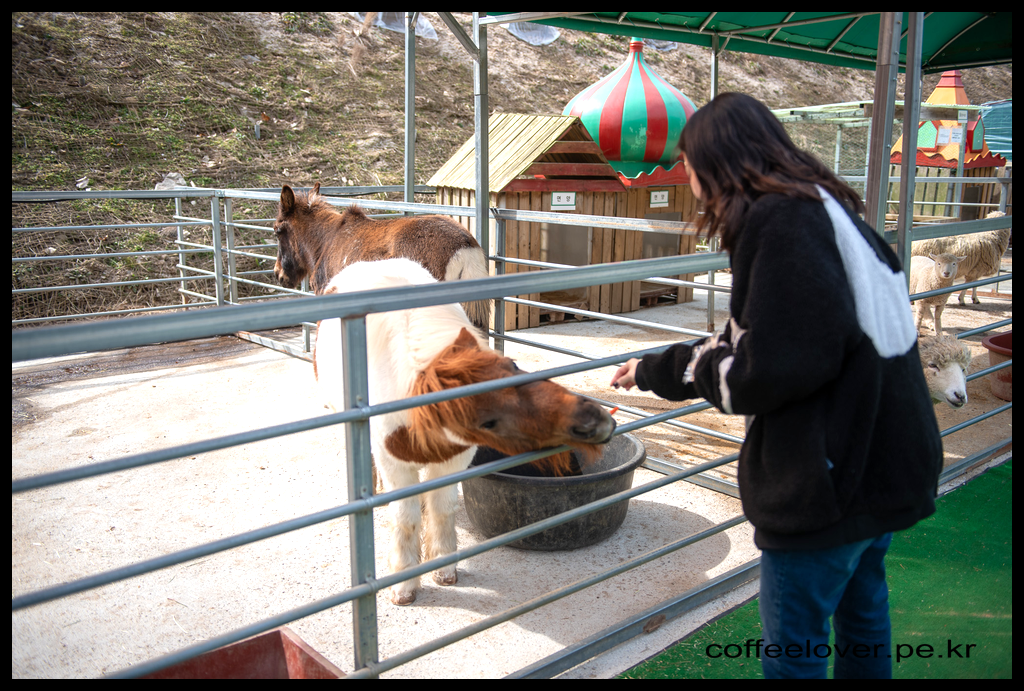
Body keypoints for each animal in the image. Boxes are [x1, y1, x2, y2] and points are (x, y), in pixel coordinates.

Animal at [313, 260, 614, 606]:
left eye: (513, 366)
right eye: (487, 422)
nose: (596, 421)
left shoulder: (453, 461)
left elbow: (442, 508)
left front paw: (444, 570)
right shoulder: (395, 465)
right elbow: (405, 518)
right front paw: (404, 586)